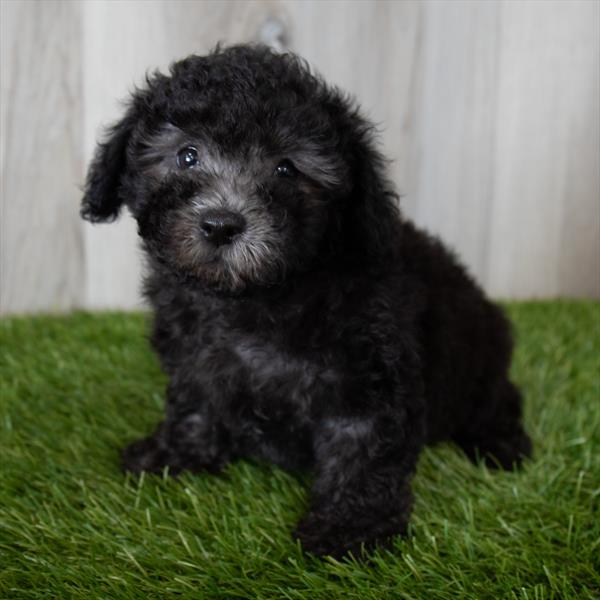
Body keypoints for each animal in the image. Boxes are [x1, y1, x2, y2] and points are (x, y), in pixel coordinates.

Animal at [79, 43, 528, 556]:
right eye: (187, 155)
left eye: (286, 168)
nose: (221, 224)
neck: (256, 295)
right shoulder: (195, 358)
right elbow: (194, 403)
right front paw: (175, 454)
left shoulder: (369, 373)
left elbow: (363, 448)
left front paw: (350, 529)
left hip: (480, 363)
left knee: (500, 399)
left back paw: (502, 445)